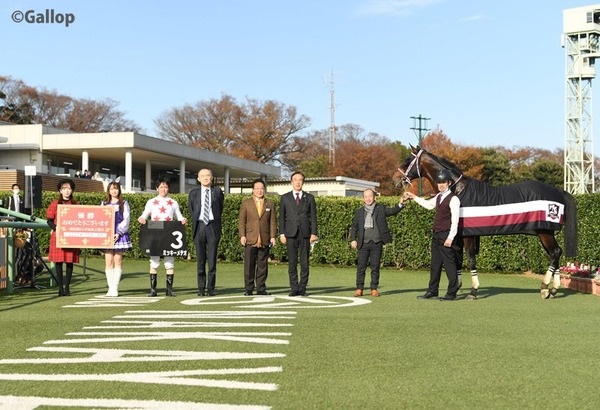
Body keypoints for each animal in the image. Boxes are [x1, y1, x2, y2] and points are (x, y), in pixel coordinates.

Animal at [394, 146, 576, 300]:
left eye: (407, 160)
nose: (395, 179)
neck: (457, 190)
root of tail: (558, 191)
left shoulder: (468, 235)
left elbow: (470, 259)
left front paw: (473, 291)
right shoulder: (457, 236)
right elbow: (458, 260)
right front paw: (456, 288)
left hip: (545, 232)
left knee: (555, 253)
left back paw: (545, 288)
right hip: (544, 232)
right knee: (556, 253)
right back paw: (554, 290)